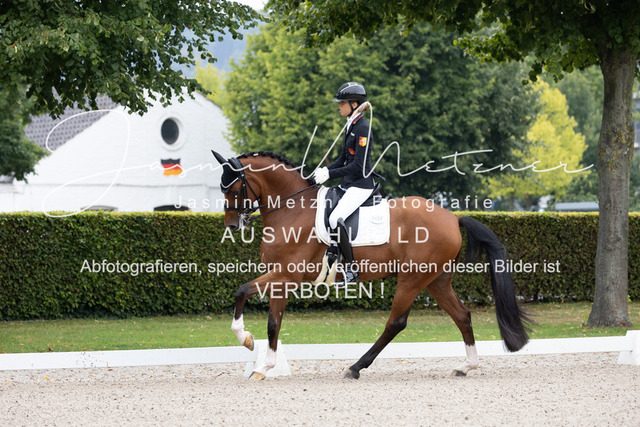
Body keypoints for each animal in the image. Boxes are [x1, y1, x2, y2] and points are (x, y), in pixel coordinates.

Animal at [211, 150, 529, 380]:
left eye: (234, 189)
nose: (232, 225)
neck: (292, 210)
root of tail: (452, 218)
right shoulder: (281, 279)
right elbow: (273, 322)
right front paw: (262, 366)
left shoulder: (286, 274)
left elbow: (243, 291)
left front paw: (247, 341)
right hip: (436, 281)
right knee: (462, 315)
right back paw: (466, 367)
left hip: (412, 279)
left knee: (396, 322)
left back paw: (355, 367)